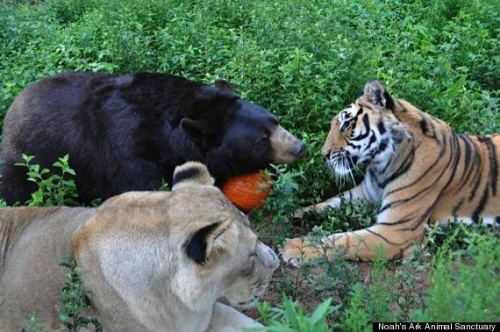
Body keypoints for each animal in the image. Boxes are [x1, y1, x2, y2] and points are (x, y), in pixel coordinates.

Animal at [0, 72, 304, 205]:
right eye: (261, 139)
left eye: (275, 120)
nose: (299, 147)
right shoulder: (128, 152)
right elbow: (143, 189)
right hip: (23, 164)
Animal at [282, 79, 500, 264]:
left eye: (347, 124)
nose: (324, 154)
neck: (381, 166)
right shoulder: (365, 194)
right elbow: (327, 203)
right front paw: (293, 212)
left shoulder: (396, 232)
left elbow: (343, 240)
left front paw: (294, 248)